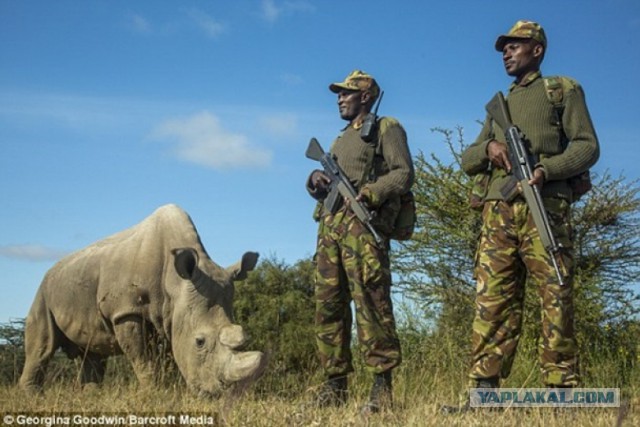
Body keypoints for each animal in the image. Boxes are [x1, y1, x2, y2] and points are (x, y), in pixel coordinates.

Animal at [18, 206, 264, 396]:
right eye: (199, 341)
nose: (219, 395)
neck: (175, 282)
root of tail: (51, 270)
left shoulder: (169, 315)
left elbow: (165, 357)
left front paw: (169, 391)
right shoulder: (126, 311)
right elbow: (142, 358)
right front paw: (155, 393)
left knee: (93, 350)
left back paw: (91, 394)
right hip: (44, 291)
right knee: (42, 345)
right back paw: (33, 396)